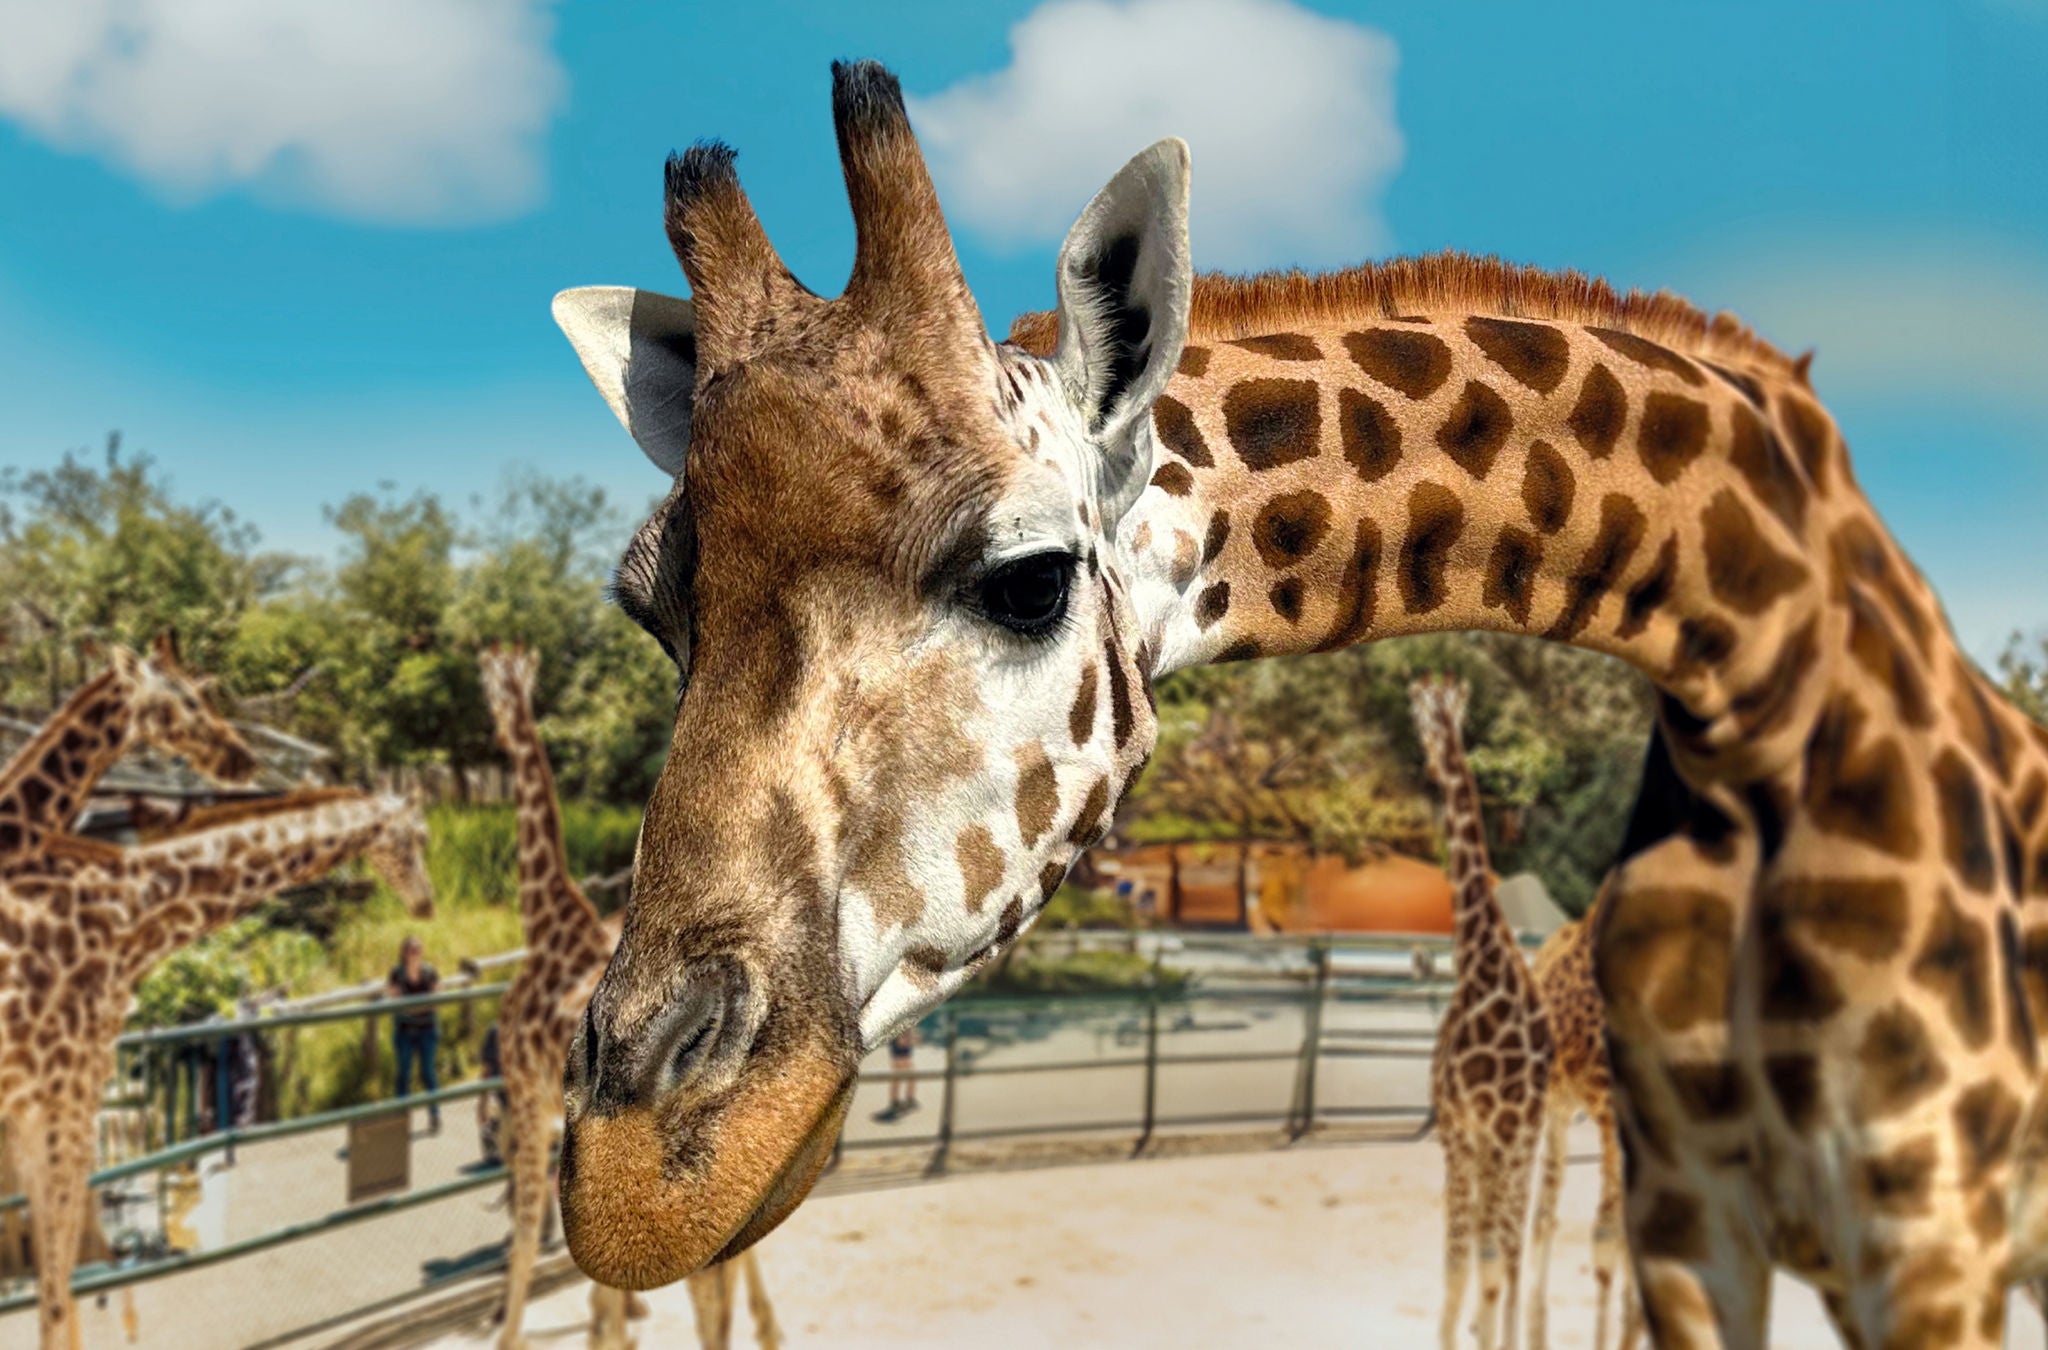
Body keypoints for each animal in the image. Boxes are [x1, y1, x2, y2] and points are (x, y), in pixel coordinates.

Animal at [0, 788, 433, 1350]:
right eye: (420, 835)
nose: (427, 903)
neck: (128, 919)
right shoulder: (65, 1085)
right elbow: (58, 1278)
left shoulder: (51, 1096)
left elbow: (60, 1273)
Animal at [478, 645, 777, 1350]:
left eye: (492, 686)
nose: (495, 730)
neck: (547, 922)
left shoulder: (527, 1100)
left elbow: (527, 1234)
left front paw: (512, 1334)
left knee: (711, 1281)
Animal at [542, 59, 2048, 1346]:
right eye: (649, 611)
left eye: (1030, 580)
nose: (636, 1171)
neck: (1762, 694)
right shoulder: (1692, 1219)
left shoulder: (1932, 1239)